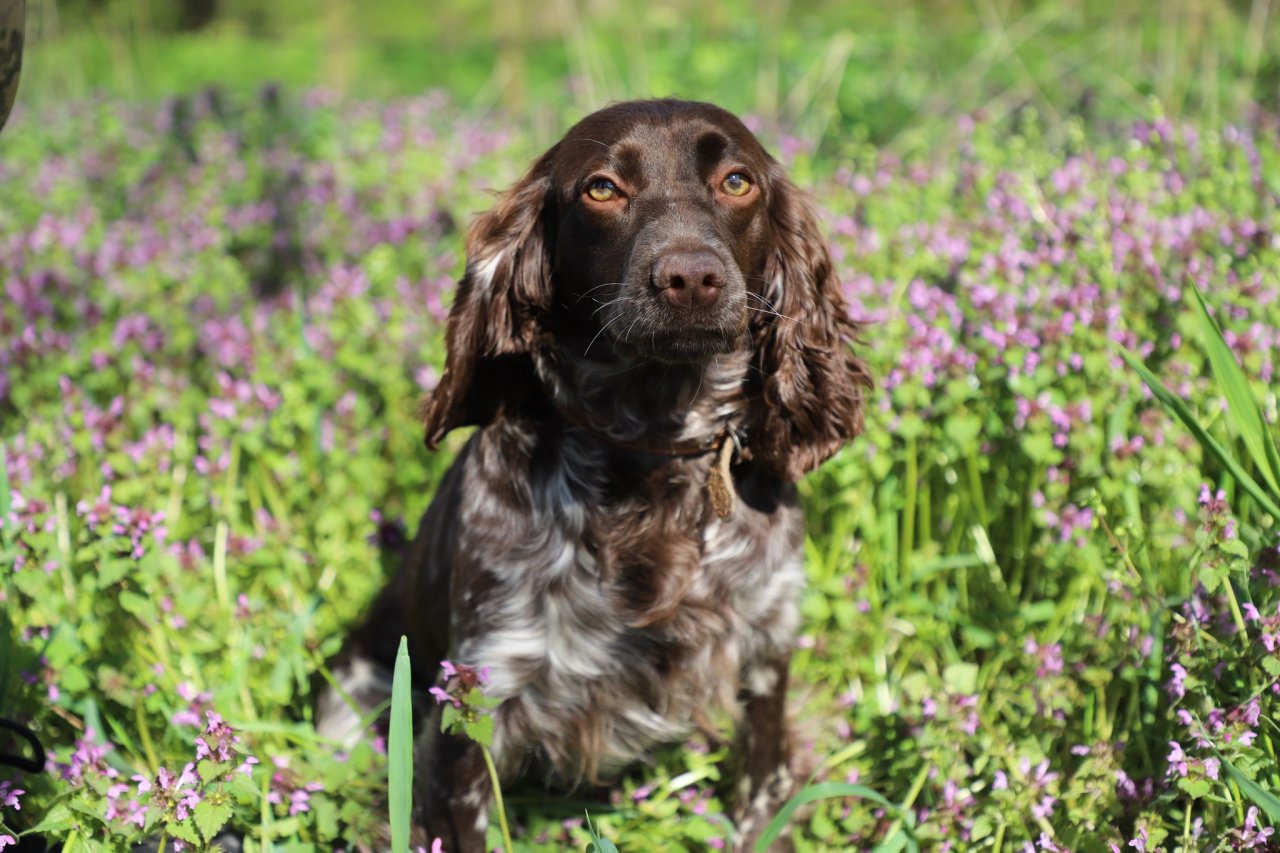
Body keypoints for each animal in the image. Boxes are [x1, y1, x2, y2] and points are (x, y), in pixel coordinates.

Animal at [322, 97, 870, 845]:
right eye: (603, 189)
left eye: (737, 181)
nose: (690, 277)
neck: (653, 453)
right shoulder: (473, 701)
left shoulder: (766, 650)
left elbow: (764, 796)